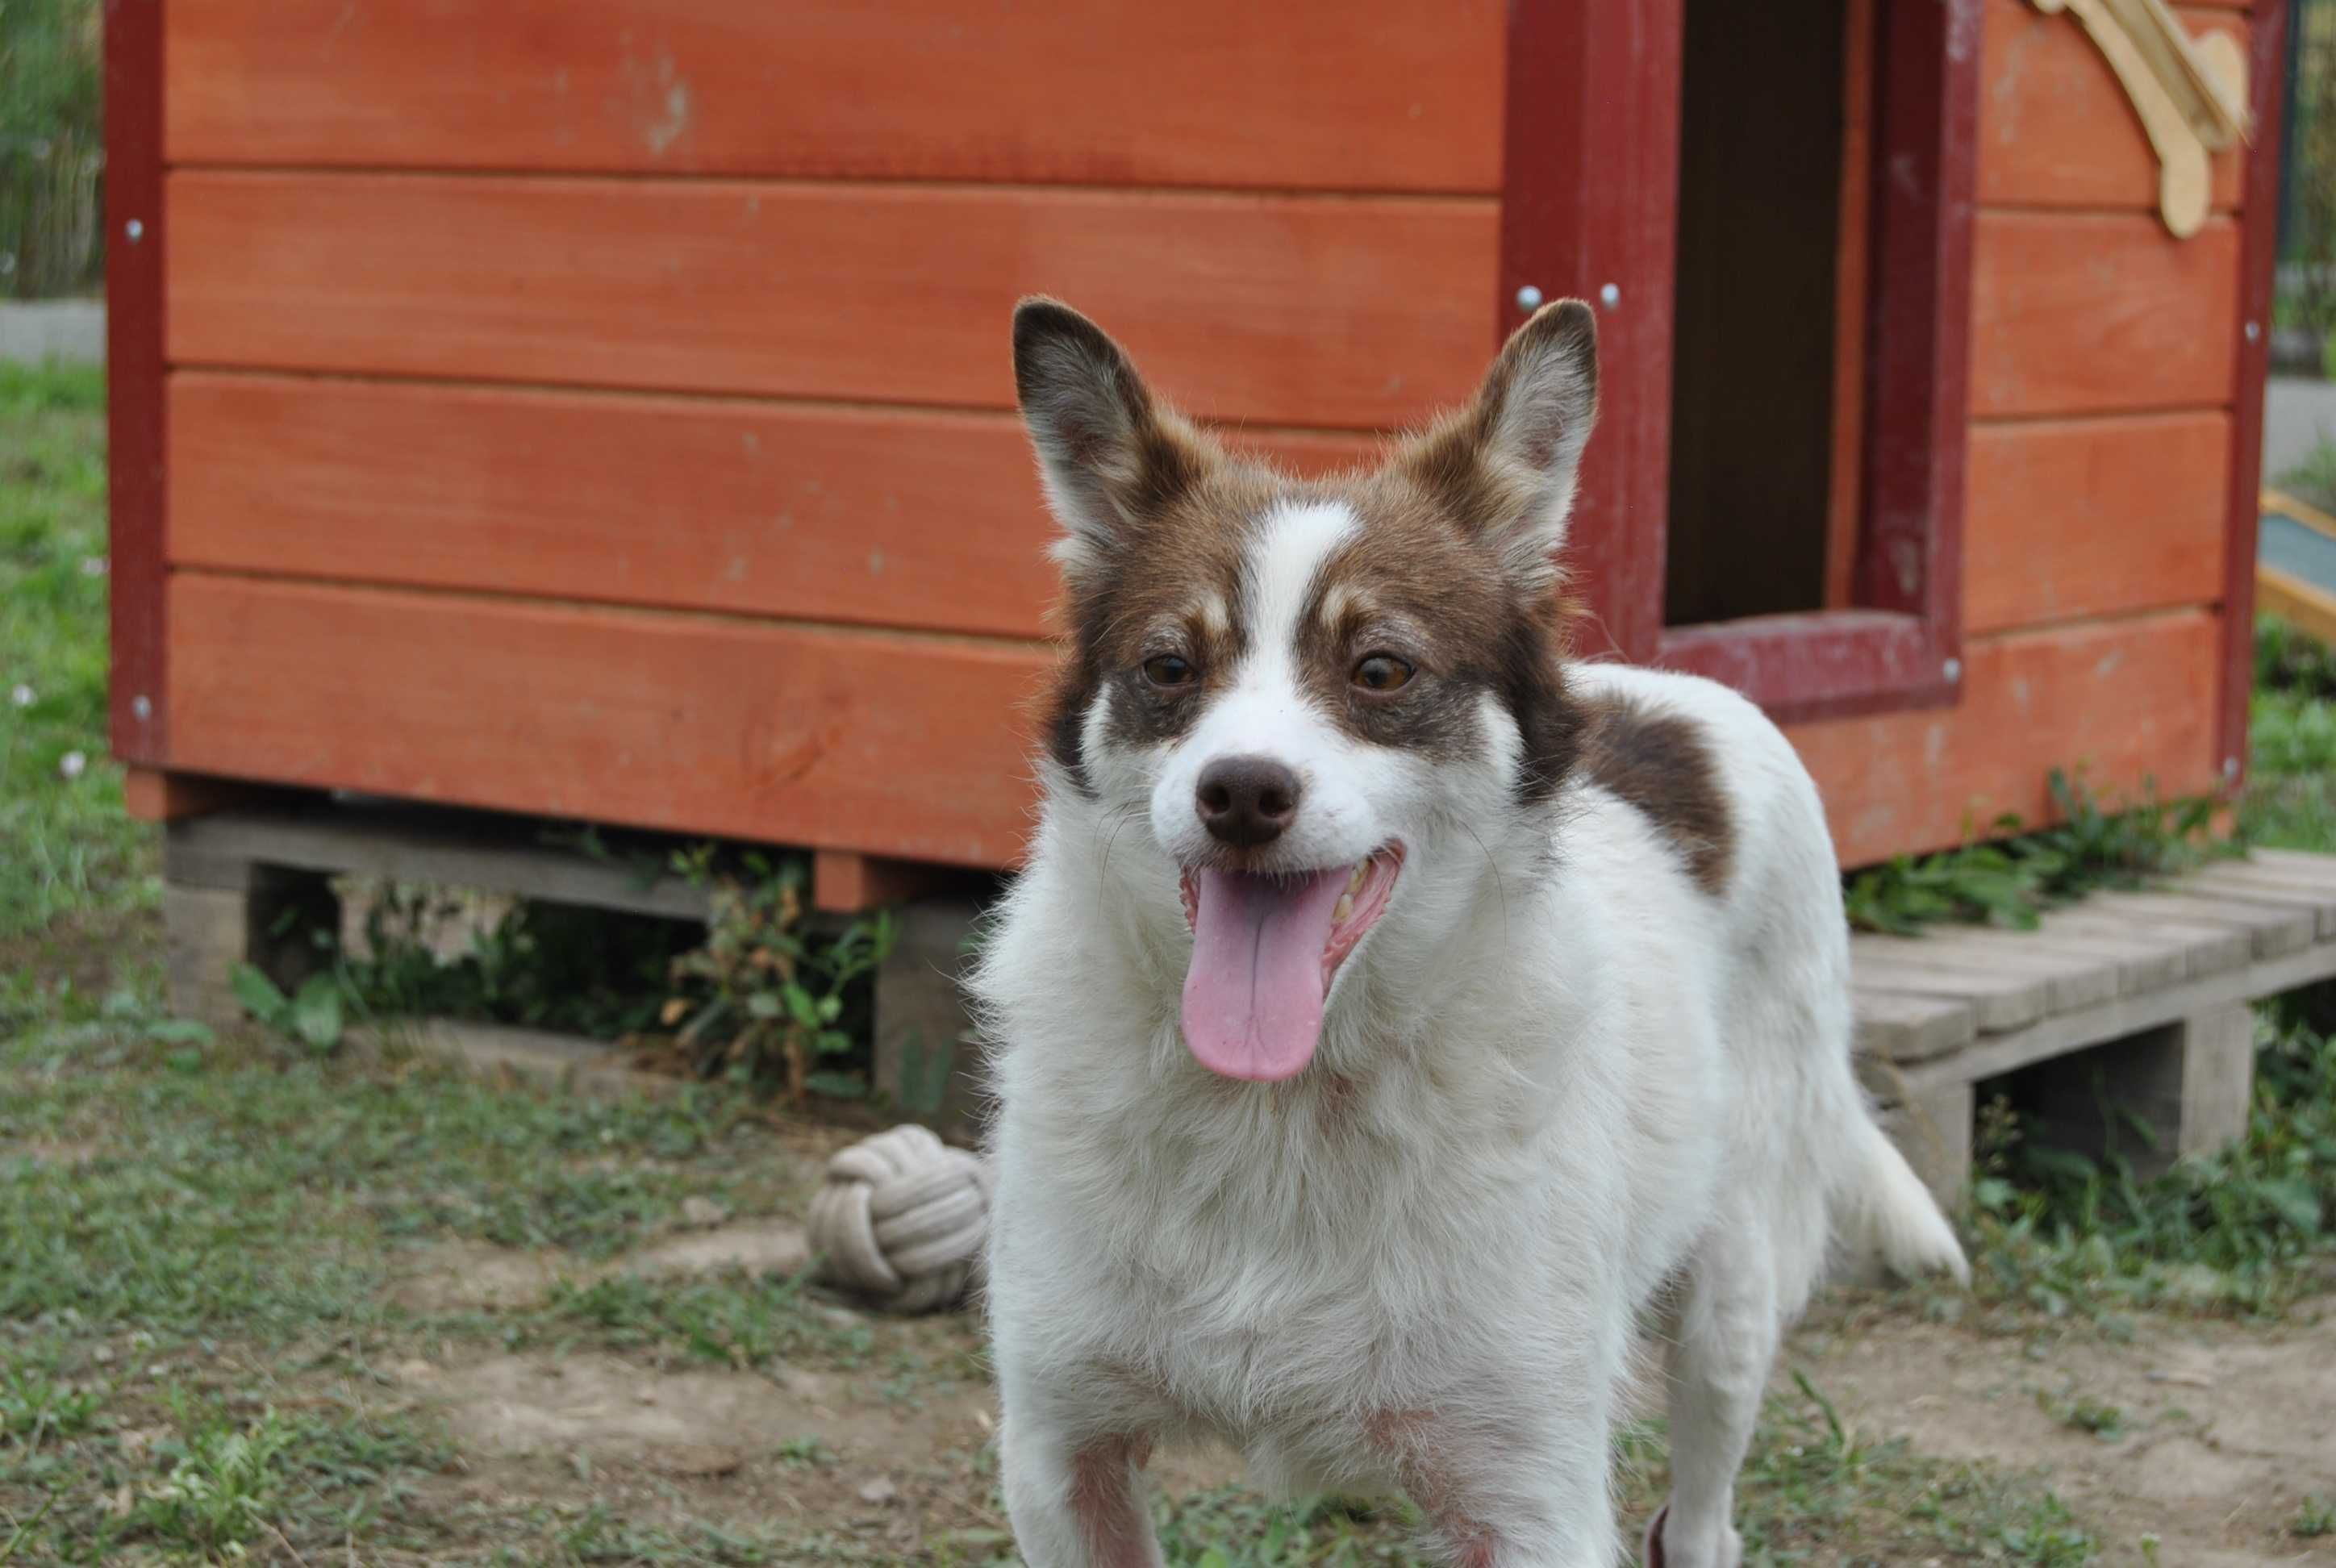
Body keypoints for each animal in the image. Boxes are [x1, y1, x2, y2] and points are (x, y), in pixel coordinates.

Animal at [971, 298, 1971, 1568]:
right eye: (1168, 666)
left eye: (1380, 669)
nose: (1240, 793)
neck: (1283, 1108)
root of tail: (1670, 690)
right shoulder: (1060, 1454)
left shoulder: (1530, 1498)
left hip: (1734, 1298)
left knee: (1702, 1509)